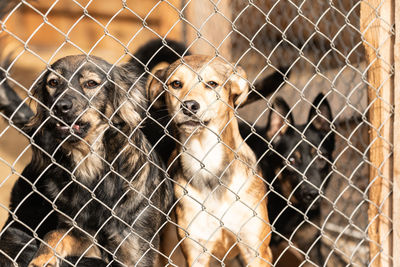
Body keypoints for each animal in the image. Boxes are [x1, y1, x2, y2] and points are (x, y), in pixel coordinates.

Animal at [0, 38, 188, 266]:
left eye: (91, 83)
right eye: (53, 83)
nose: (59, 106)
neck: (90, 168)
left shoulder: (136, 250)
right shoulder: (84, 237)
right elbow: (56, 234)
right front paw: (43, 257)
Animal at [148, 55, 274, 266]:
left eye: (212, 84)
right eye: (176, 84)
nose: (189, 106)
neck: (207, 162)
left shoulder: (256, 250)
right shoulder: (196, 252)